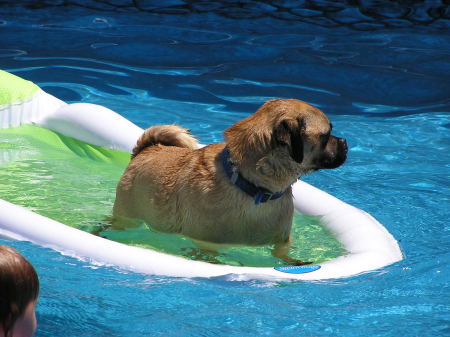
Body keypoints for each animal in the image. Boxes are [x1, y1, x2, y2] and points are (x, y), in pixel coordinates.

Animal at [112, 98, 348, 264]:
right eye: (326, 136)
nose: (344, 142)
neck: (254, 189)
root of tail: (147, 149)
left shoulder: (281, 240)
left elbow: (282, 254)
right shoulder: (206, 243)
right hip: (127, 214)